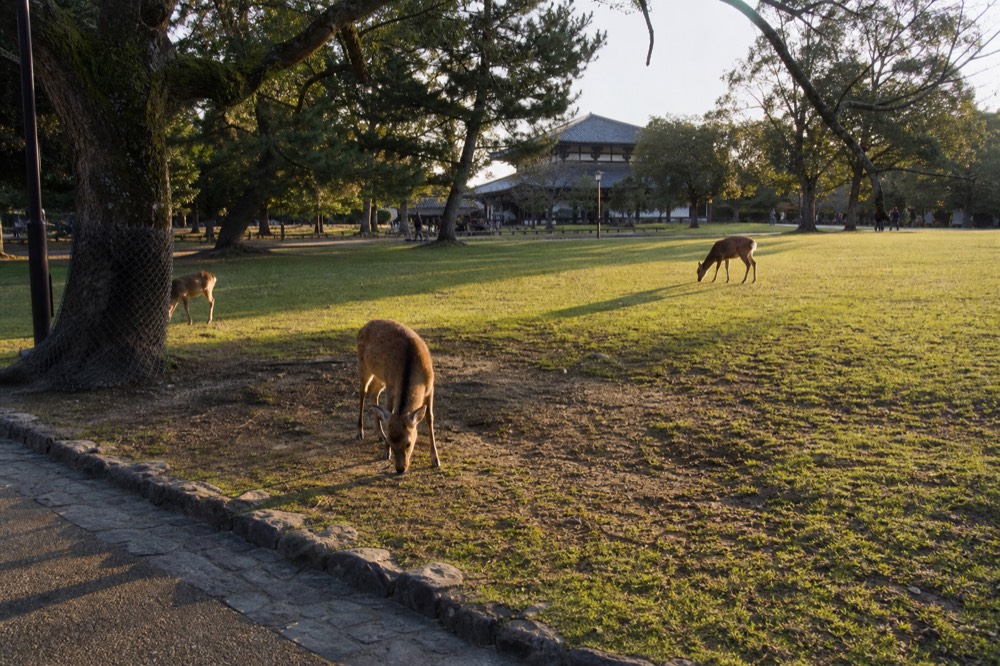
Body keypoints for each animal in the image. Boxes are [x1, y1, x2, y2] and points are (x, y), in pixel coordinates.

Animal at [356, 319, 439, 474]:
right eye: (391, 441)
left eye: (408, 443)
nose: (400, 469)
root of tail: (364, 325)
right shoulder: (391, 386)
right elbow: (389, 411)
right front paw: (386, 452)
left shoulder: (431, 387)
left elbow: (429, 418)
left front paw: (436, 460)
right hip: (363, 365)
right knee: (362, 392)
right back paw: (360, 432)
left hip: (379, 376)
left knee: (373, 392)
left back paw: (379, 434)